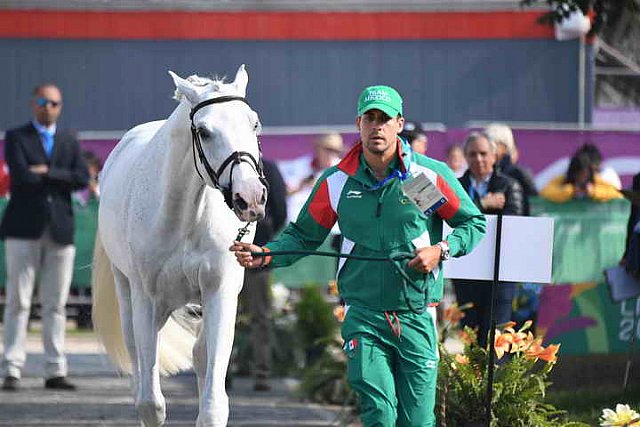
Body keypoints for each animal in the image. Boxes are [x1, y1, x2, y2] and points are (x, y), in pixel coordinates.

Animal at [91, 64, 266, 427]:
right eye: (203, 131)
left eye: (253, 123)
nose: (250, 198)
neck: (185, 217)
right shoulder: (146, 300)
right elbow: (150, 403)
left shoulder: (220, 292)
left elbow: (213, 404)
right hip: (127, 293)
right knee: (137, 364)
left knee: (200, 356)